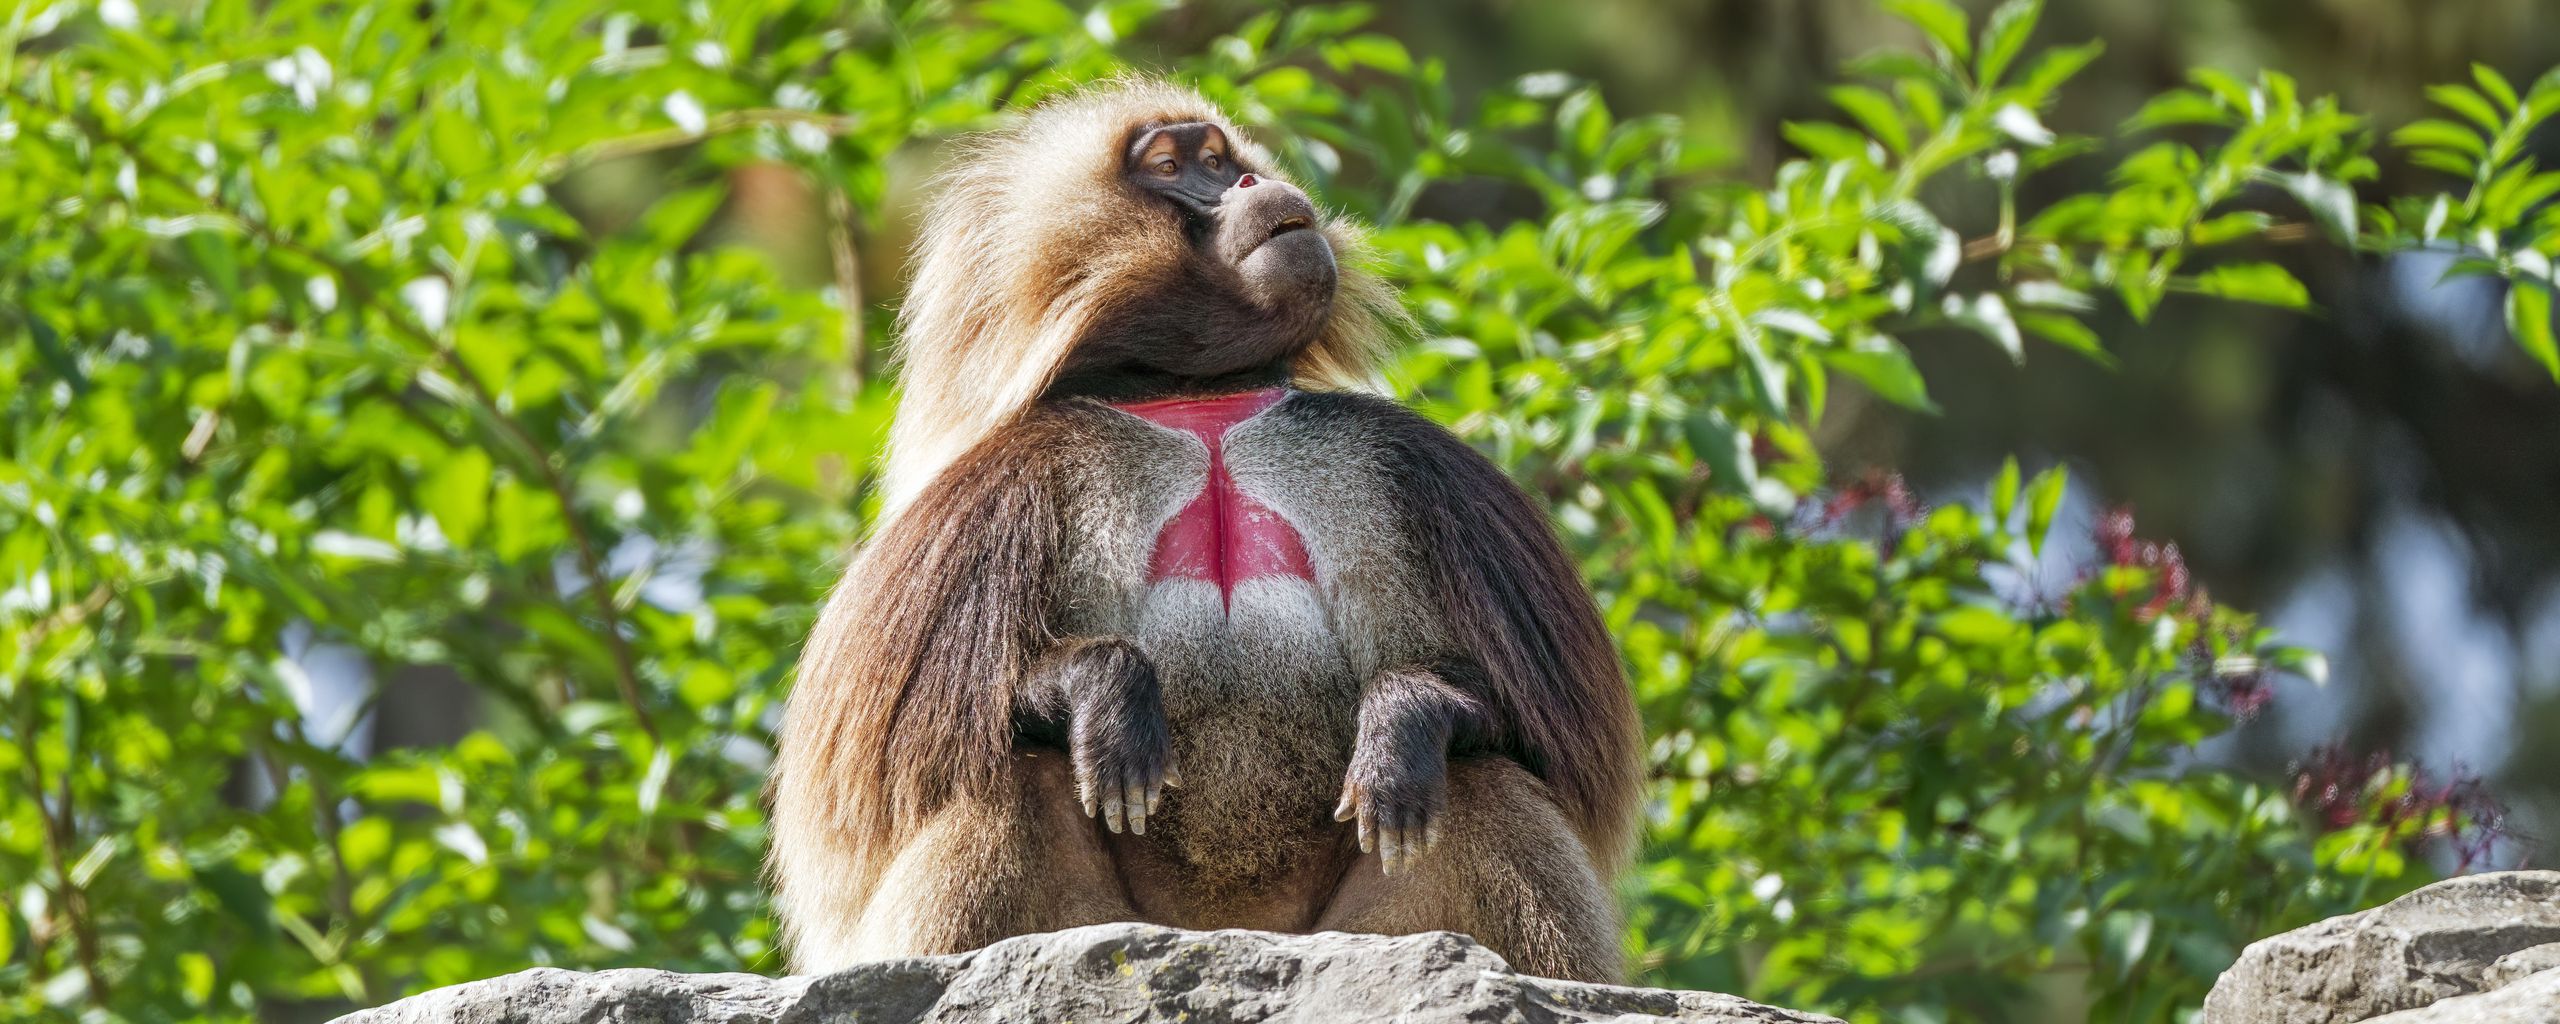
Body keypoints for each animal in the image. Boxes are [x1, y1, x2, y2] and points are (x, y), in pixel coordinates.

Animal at [766, 79, 1643, 984]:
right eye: (1170, 166)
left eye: (1222, 160)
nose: (1254, 185)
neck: (1200, 400)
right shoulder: (1001, 491)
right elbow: (887, 780)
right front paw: (1106, 693)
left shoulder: (1418, 469)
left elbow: (1558, 749)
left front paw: (1402, 722)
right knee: (1016, 779)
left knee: (1478, 782)